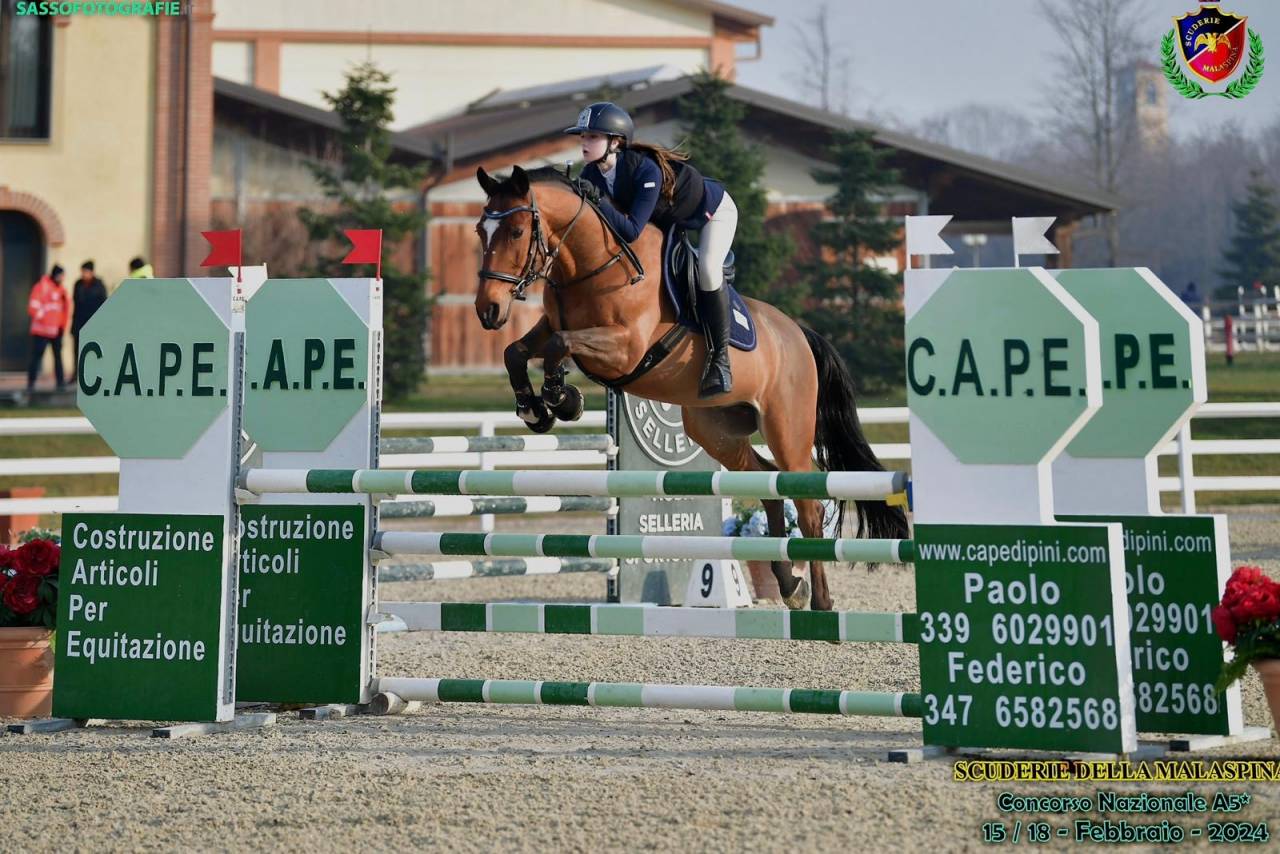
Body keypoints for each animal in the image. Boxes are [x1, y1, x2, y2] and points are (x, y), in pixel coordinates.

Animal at [472, 164, 908, 611]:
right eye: (479, 231)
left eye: (517, 232)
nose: (488, 310)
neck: (593, 266)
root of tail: (798, 334)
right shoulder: (553, 328)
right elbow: (515, 351)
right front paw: (535, 408)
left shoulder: (625, 348)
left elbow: (560, 346)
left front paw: (563, 399)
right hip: (715, 430)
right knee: (768, 485)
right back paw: (789, 585)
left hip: (788, 429)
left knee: (807, 505)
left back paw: (820, 600)